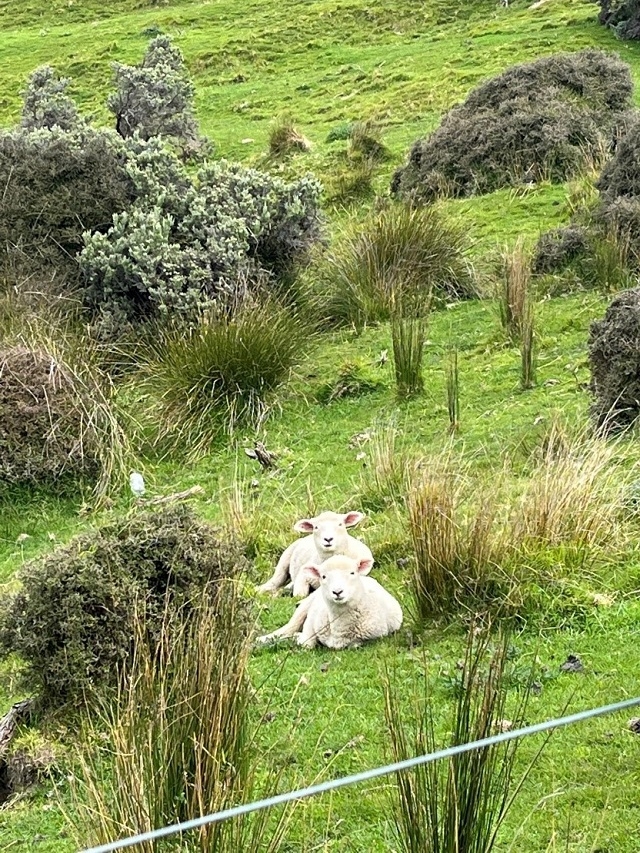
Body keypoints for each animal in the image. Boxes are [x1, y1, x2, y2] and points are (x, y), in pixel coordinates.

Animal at [255, 556, 400, 648]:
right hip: (308, 603)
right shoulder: (312, 618)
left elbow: (355, 644)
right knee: (288, 628)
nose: (337, 592)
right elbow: (307, 643)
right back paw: (263, 639)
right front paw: (298, 638)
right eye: (323, 576)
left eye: (352, 573)